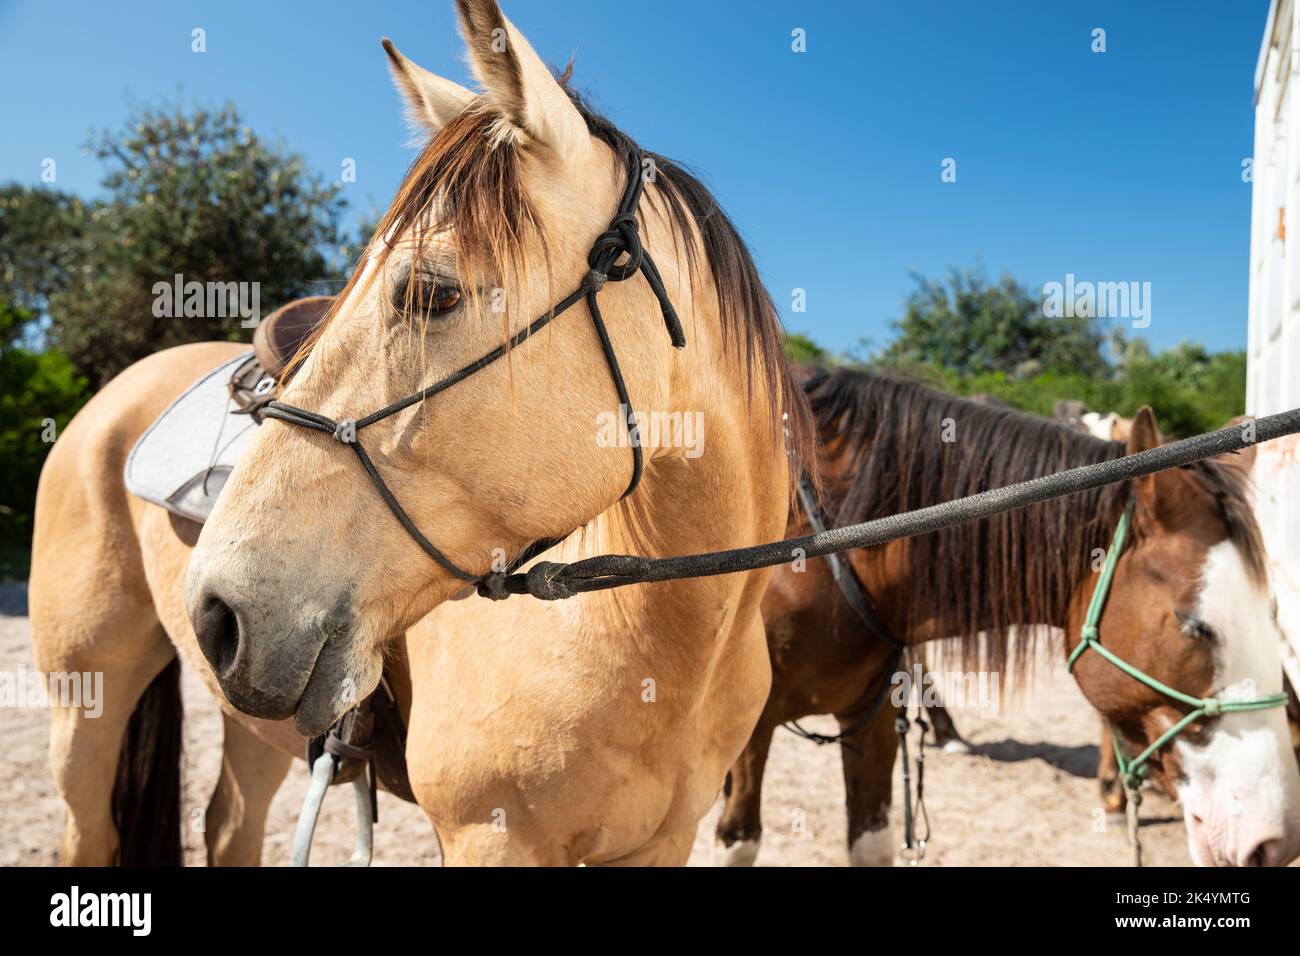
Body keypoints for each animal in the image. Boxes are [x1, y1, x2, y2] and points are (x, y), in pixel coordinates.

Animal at [27, 0, 811, 868]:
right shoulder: (489, 837)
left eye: (433, 293)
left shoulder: (660, 844)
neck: (667, 646)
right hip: (85, 697)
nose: (216, 611)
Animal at [712, 369, 1300, 868]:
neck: (819, 550)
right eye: (1194, 625)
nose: (1275, 842)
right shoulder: (748, 728)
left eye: (1272, 617)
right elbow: (737, 841)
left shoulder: (873, 717)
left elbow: (871, 842)